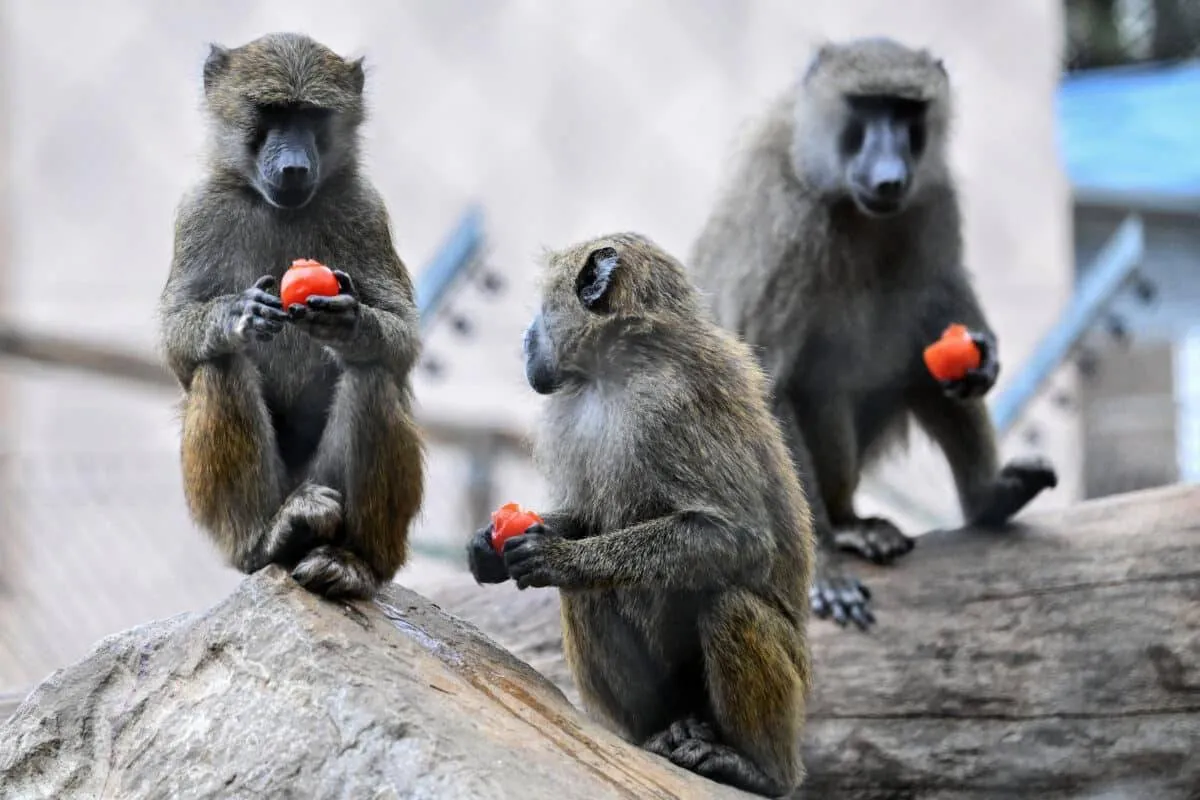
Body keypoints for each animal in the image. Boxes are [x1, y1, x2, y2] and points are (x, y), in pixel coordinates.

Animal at [158, 32, 424, 601]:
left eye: (311, 116)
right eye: (273, 112)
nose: (296, 167)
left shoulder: (366, 210)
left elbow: (402, 340)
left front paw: (351, 323)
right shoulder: (198, 211)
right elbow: (179, 341)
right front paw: (236, 313)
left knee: (371, 375)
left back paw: (353, 562)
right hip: (284, 494)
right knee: (222, 365)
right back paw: (271, 537)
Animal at [465, 233, 814, 798]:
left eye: (543, 307)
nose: (523, 338)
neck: (620, 368)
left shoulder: (674, 405)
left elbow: (739, 536)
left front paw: (562, 557)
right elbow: (586, 518)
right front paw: (488, 548)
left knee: (730, 605)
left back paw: (759, 769)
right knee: (589, 598)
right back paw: (662, 732)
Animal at [687, 37, 1057, 630]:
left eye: (906, 112)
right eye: (865, 108)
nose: (889, 177)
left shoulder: (933, 196)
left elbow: (940, 287)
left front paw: (985, 354)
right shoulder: (789, 222)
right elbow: (766, 385)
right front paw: (823, 571)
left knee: (920, 356)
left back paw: (987, 498)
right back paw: (843, 530)